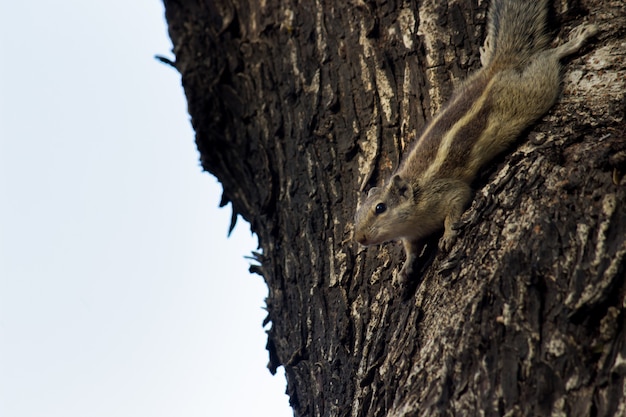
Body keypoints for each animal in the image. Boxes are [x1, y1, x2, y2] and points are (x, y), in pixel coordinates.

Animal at [354, 0, 596, 282]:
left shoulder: (447, 193)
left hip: (533, 93)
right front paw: (405, 270)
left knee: (547, 60)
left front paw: (448, 235)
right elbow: (411, 249)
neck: (416, 199)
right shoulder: (411, 235)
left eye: (380, 208)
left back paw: (573, 42)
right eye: (357, 214)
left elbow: (457, 202)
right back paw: (488, 50)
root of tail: (498, 67)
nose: (360, 238)